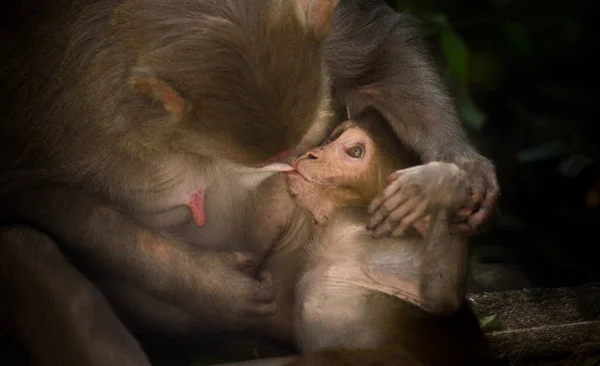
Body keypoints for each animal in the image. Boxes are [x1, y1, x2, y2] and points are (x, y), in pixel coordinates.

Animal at [0, 0, 496, 366]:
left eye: (346, 149)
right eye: (328, 142)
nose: (305, 157)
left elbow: (379, 56)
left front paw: (460, 170)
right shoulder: (68, 109)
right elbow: (36, 192)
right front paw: (213, 286)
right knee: (27, 250)